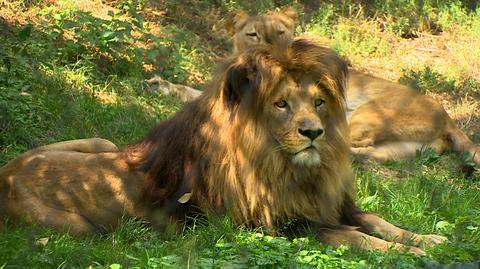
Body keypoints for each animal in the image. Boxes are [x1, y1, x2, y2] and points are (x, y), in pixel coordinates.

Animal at [1, 39, 448, 253]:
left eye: (319, 102)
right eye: (281, 104)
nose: (313, 132)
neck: (290, 169)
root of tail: (5, 173)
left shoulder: (333, 204)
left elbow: (378, 221)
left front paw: (430, 240)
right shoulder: (276, 227)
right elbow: (354, 238)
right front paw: (410, 256)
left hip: (104, 142)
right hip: (84, 232)